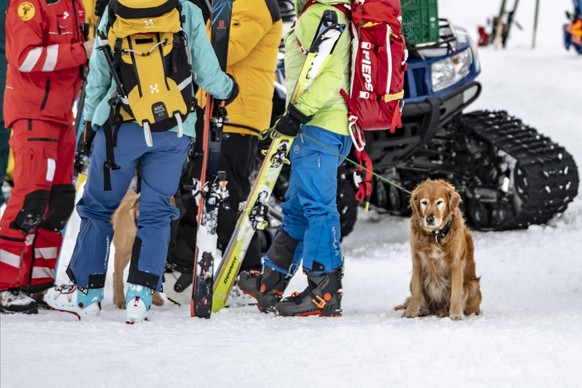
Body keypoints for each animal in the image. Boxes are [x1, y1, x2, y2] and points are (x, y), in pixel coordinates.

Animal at [396, 180, 484, 320]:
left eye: (439, 202)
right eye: (424, 202)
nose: (429, 219)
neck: (436, 235)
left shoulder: (456, 264)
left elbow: (455, 293)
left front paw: (455, 313)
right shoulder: (417, 261)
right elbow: (416, 291)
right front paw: (411, 311)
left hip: (472, 285)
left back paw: (445, 311)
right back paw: (424, 310)